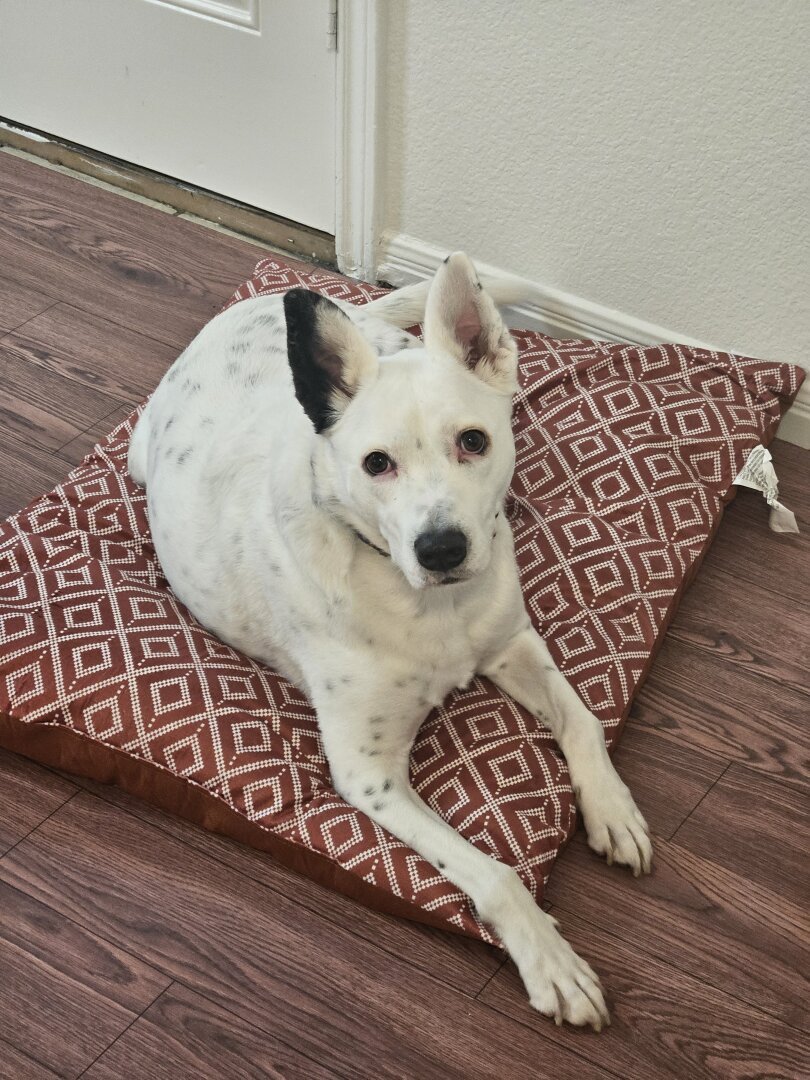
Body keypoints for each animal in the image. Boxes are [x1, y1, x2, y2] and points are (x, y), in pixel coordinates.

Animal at [130, 252, 656, 1028]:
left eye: (473, 441)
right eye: (376, 464)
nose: (441, 548)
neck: (430, 604)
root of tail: (250, 305)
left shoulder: (512, 643)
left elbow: (584, 720)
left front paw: (613, 810)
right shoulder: (368, 772)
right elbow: (493, 875)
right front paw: (550, 960)